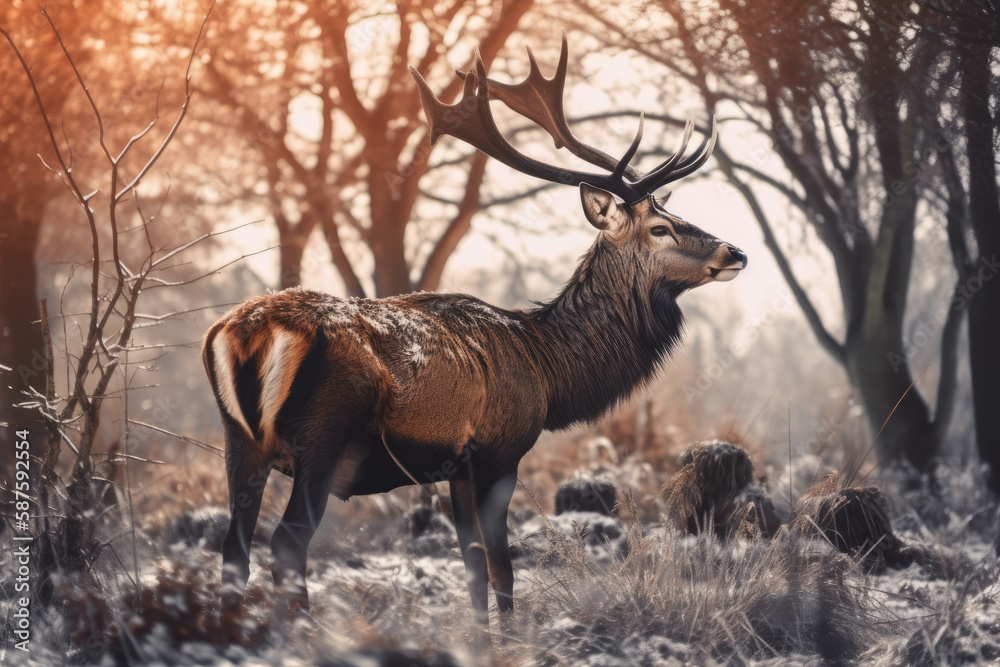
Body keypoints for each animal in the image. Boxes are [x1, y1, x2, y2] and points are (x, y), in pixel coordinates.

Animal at [202, 34, 747, 627]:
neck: (547, 368)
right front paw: (512, 636)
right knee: (286, 545)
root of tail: (243, 335)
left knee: (234, 550)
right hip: (322, 435)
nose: (735, 251)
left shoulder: (455, 465)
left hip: (238, 439)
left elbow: (471, 569)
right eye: (661, 227)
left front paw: (482, 635)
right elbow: (501, 567)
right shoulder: (499, 450)